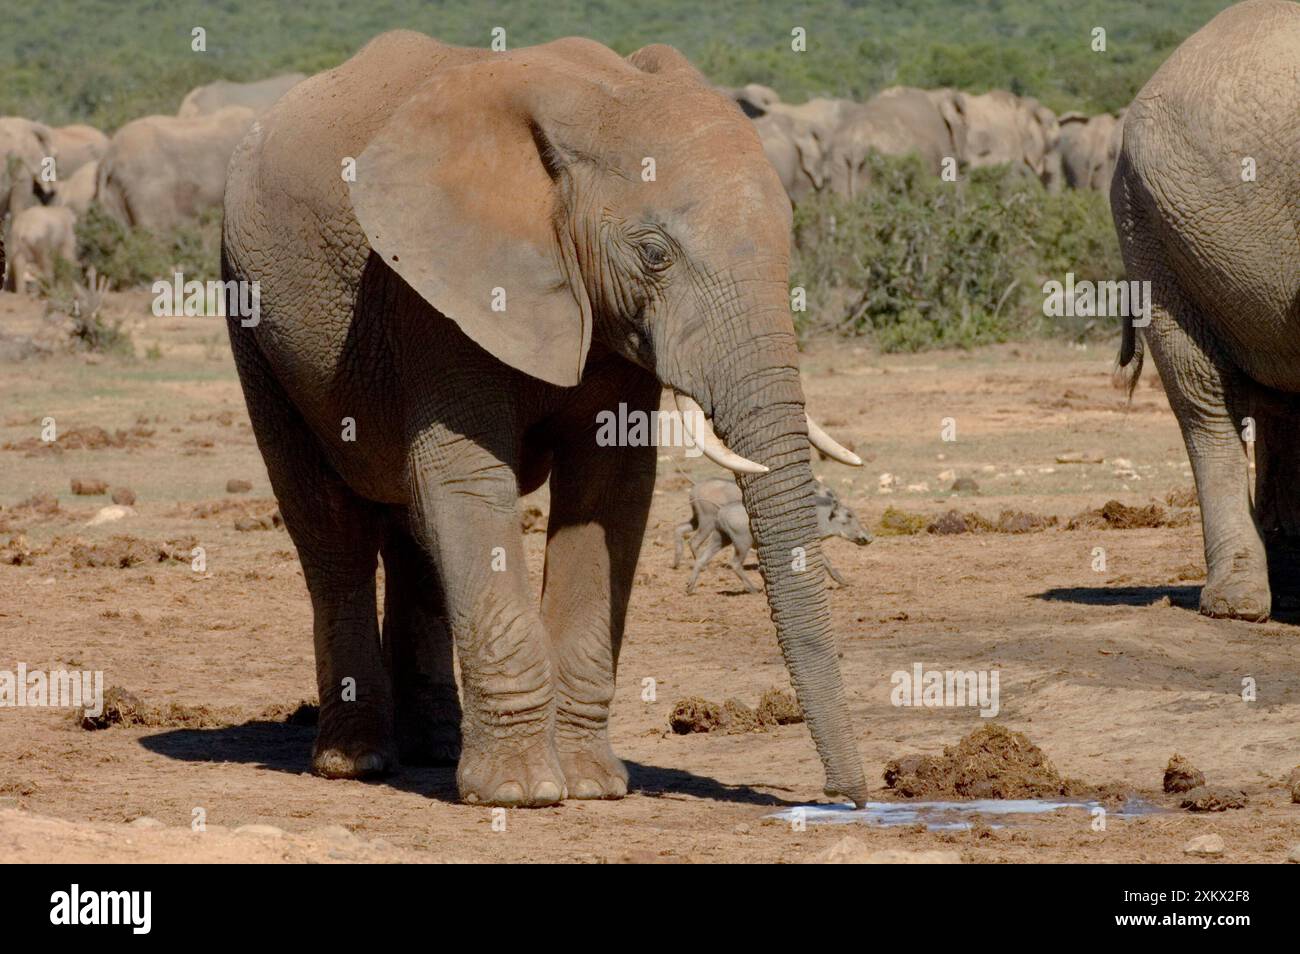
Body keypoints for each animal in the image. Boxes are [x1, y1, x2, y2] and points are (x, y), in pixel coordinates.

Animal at [221, 31, 871, 808]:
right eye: (654, 255)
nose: (848, 797)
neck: (593, 105)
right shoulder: (432, 291)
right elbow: (470, 483)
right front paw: (520, 794)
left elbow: (610, 490)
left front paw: (591, 785)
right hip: (251, 318)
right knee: (330, 528)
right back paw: (359, 761)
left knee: (412, 527)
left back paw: (434, 749)